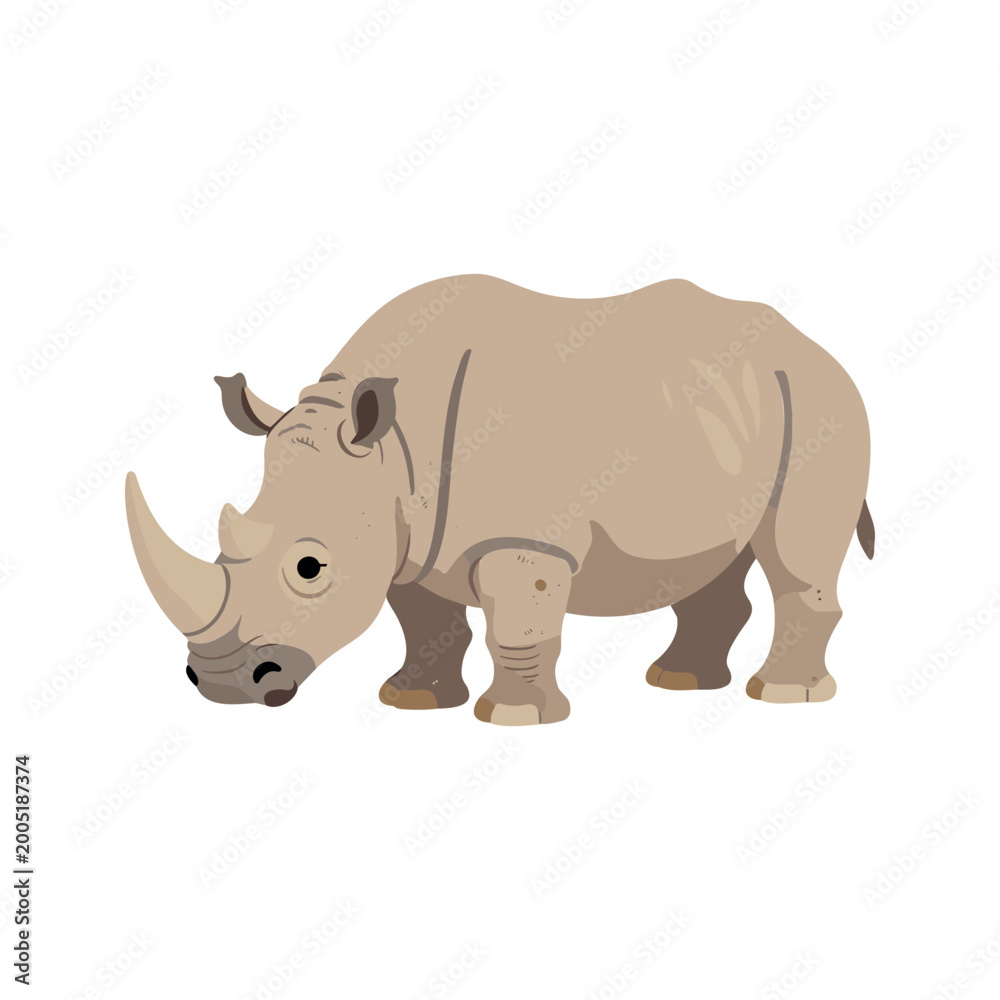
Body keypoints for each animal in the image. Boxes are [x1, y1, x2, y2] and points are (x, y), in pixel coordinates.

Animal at [125, 275, 874, 722]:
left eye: (311, 568)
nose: (221, 686)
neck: (383, 455)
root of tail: (819, 349)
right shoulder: (407, 540)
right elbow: (426, 623)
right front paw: (412, 702)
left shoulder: (525, 540)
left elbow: (517, 626)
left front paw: (514, 718)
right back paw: (679, 684)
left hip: (820, 406)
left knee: (796, 554)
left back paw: (782, 697)